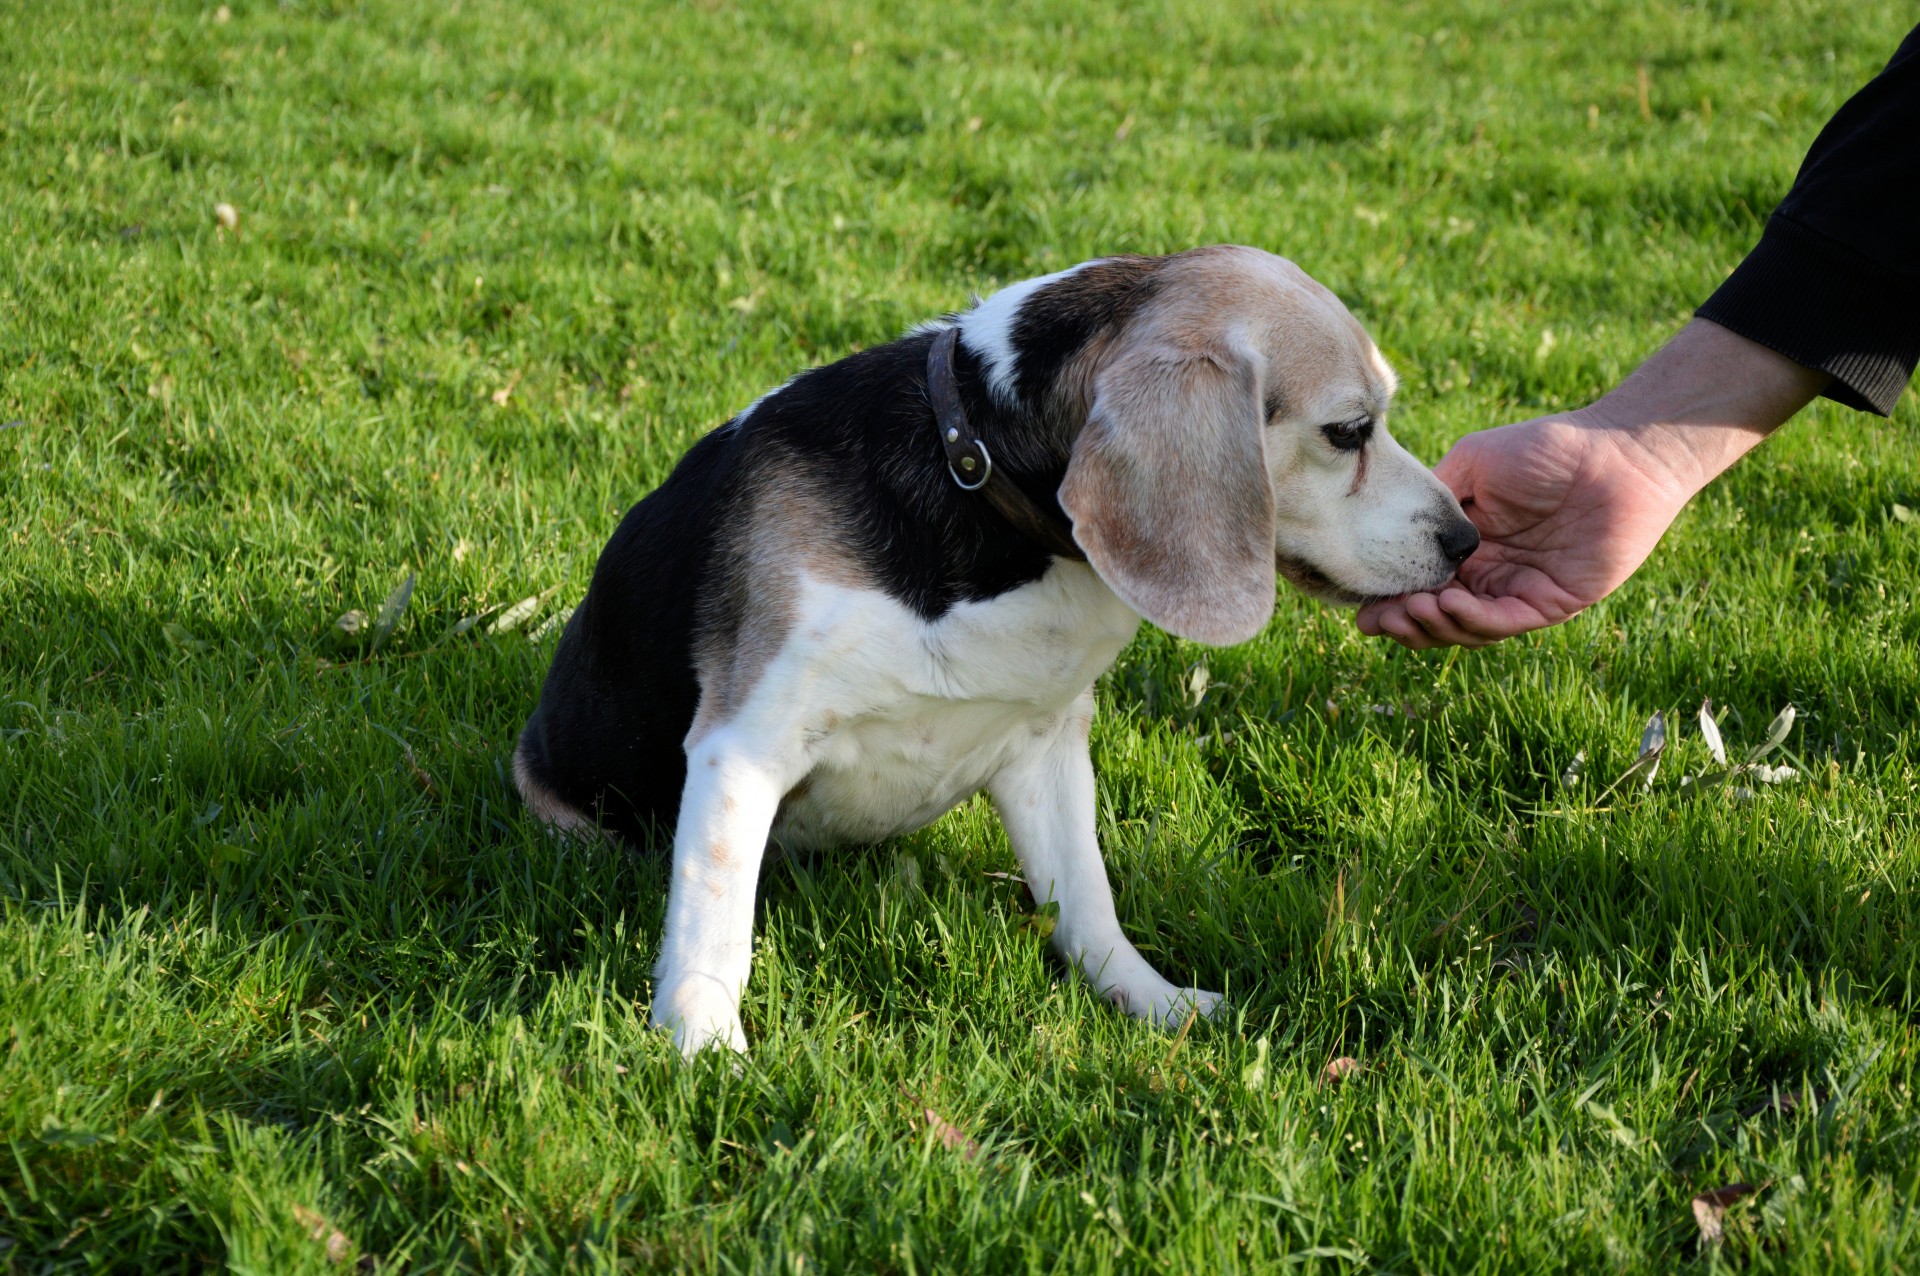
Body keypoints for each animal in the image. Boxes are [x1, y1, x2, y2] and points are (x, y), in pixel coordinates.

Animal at [506, 243, 1466, 1051]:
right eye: (1349, 432)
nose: (1464, 540)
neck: (973, 473)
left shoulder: (1046, 748)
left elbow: (1087, 899)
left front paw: (1152, 1003)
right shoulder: (743, 748)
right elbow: (715, 925)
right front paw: (704, 1051)